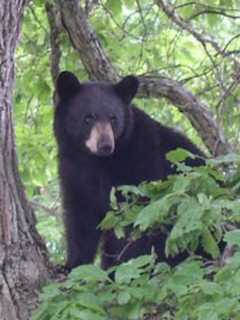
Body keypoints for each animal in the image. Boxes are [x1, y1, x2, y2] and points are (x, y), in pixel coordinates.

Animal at [54, 70, 204, 270]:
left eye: (113, 118)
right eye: (88, 117)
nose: (105, 145)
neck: (96, 161)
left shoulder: (141, 163)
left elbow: (136, 221)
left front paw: (120, 266)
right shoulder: (73, 169)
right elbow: (81, 217)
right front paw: (71, 265)